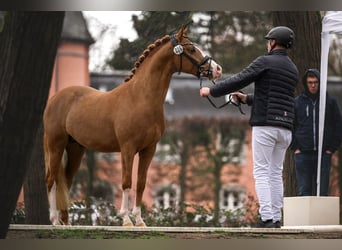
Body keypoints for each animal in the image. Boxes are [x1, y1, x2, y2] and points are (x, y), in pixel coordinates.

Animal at [43, 26, 222, 227]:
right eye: (191, 49)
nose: (217, 69)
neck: (141, 97)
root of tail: (55, 98)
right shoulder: (127, 148)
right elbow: (127, 181)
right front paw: (126, 219)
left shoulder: (149, 149)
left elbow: (141, 183)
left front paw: (139, 220)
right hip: (55, 145)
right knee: (51, 180)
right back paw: (54, 220)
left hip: (75, 149)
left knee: (65, 181)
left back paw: (66, 222)